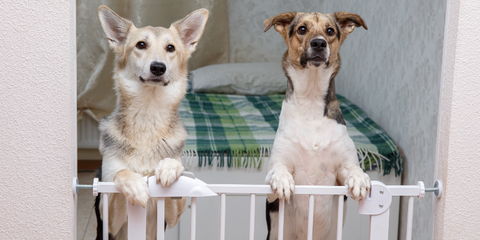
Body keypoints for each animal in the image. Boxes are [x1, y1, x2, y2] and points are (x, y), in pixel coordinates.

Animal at [94, 6, 208, 240]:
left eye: (170, 48)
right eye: (141, 45)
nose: (158, 67)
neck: (148, 113)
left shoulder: (171, 216)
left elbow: (175, 177)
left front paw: (169, 168)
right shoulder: (109, 219)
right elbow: (121, 173)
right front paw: (136, 184)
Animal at [262, 11, 372, 240]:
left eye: (330, 30)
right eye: (302, 29)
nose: (319, 43)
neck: (311, 103)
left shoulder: (342, 169)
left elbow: (353, 169)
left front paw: (359, 179)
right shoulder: (270, 187)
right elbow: (278, 170)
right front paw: (283, 180)